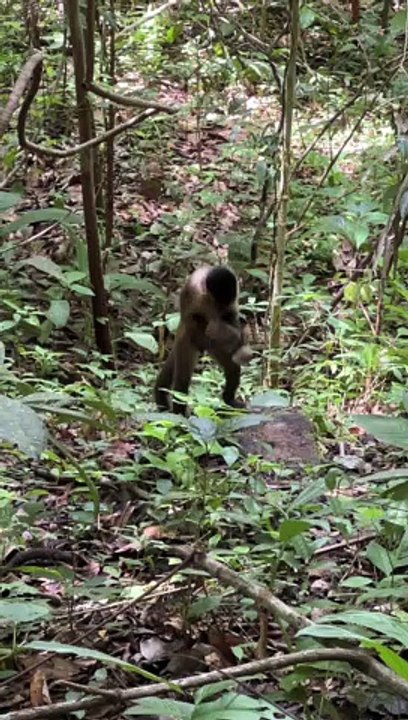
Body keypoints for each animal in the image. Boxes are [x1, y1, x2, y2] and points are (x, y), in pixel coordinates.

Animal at [154, 265, 252, 415]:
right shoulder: (197, 295)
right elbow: (195, 318)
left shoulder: (233, 296)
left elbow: (232, 317)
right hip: (188, 338)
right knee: (181, 383)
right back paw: (179, 414)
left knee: (232, 367)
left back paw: (229, 399)